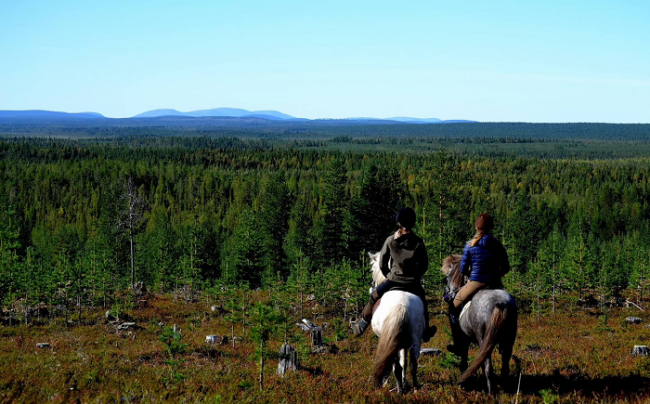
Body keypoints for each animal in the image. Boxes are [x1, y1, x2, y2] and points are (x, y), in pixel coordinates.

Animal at [364, 252, 426, 392]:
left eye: (372, 269)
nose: (372, 286)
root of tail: (401, 305)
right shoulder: (403, 342)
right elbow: (404, 362)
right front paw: (405, 382)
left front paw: (388, 382)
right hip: (415, 338)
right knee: (413, 363)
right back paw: (415, 388)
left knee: (394, 364)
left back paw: (399, 390)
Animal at [440, 254, 516, 392]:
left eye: (447, 276)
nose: (447, 294)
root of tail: (501, 303)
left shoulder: (464, 338)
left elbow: (464, 356)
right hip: (508, 339)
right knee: (504, 364)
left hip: (483, 338)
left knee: (488, 366)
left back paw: (490, 392)